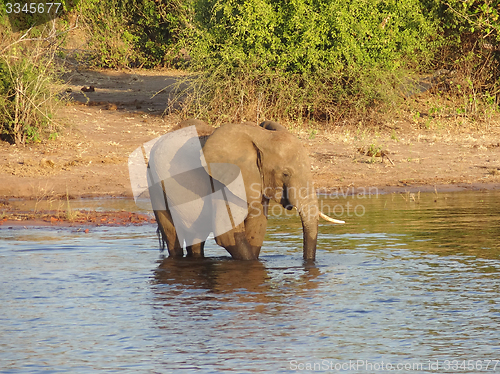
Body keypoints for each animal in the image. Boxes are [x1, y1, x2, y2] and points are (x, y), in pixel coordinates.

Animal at [147, 119, 344, 260]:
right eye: (286, 173)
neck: (261, 137)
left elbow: (257, 229)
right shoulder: (222, 182)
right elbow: (227, 235)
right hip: (155, 184)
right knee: (173, 238)